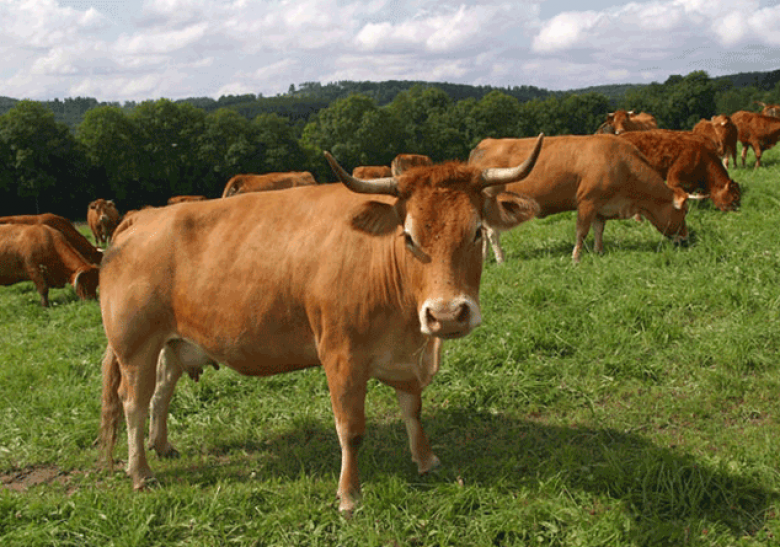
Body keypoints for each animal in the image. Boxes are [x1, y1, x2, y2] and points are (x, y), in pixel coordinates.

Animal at [466, 137, 692, 266]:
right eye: (685, 211)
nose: (685, 239)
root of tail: (484, 144)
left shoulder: (601, 205)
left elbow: (599, 229)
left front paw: (599, 251)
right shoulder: (587, 202)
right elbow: (581, 232)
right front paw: (576, 259)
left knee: (484, 233)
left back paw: (484, 259)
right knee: (492, 232)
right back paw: (500, 260)